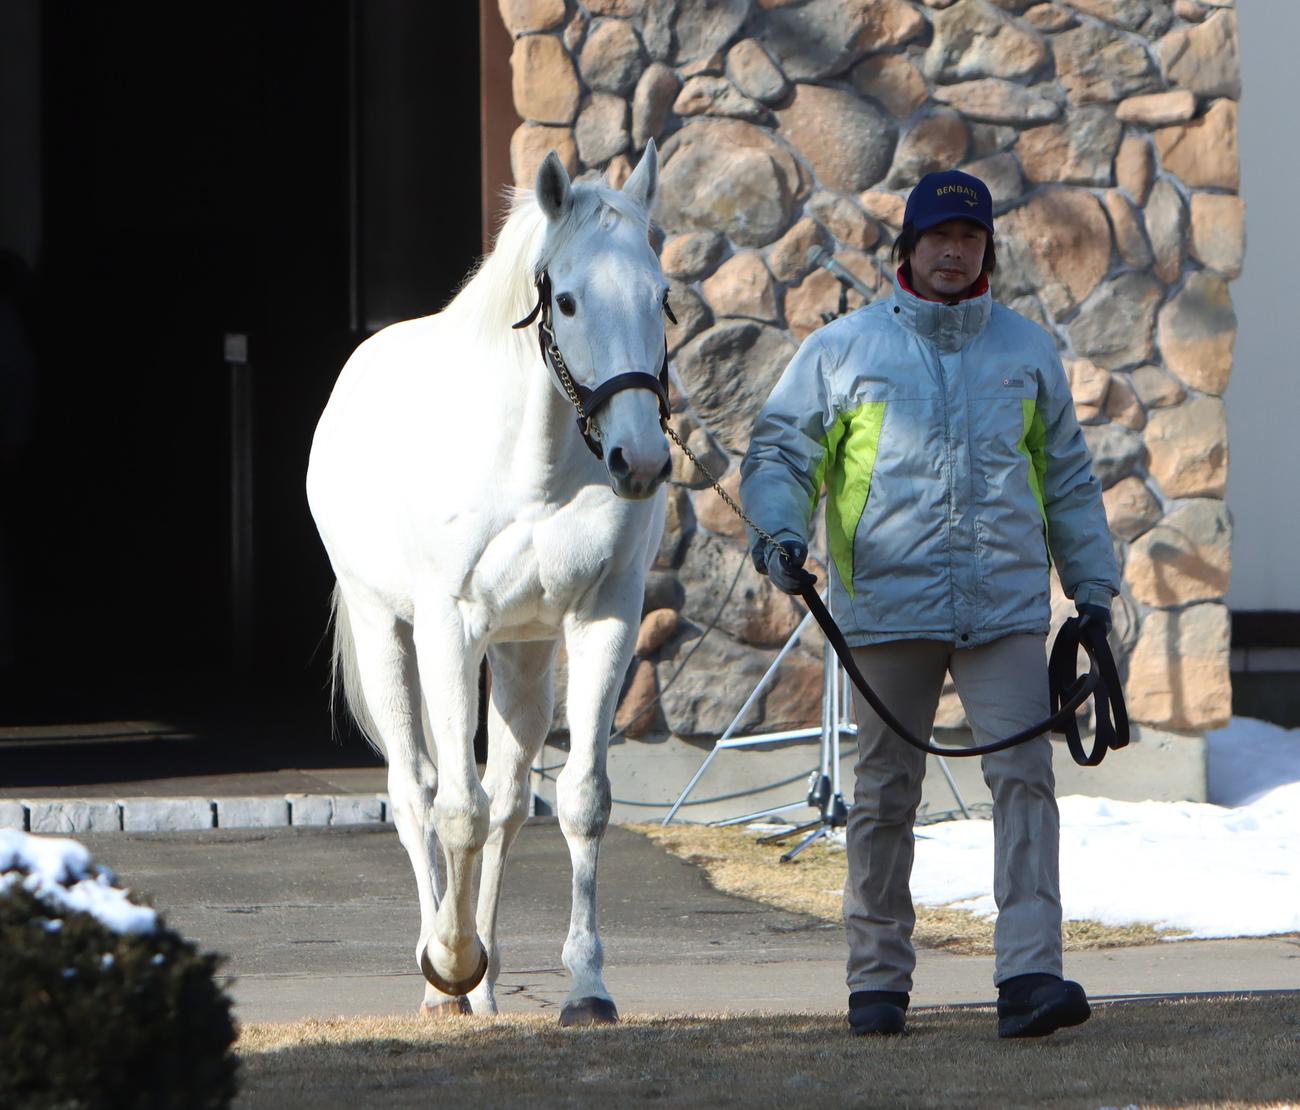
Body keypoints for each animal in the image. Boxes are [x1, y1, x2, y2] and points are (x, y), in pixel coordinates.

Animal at [306, 144, 672, 1025]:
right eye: (566, 301)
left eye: (663, 298)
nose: (641, 460)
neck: (534, 469)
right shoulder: (449, 627)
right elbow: (454, 809)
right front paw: (447, 958)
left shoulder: (603, 619)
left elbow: (577, 800)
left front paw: (587, 987)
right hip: (388, 633)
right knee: (416, 792)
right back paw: (444, 978)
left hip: (523, 656)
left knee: (507, 801)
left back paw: (488, 981)